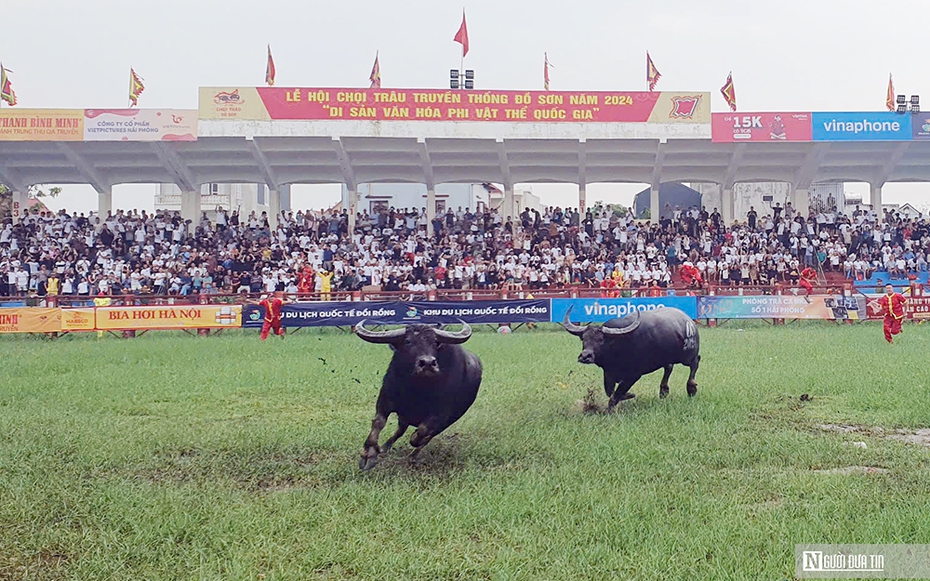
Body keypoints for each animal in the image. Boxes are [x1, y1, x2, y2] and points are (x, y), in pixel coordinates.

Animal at [354, 320, 482, 468]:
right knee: (400, 430)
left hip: (452, 417)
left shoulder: (441, 413)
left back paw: (412, 456)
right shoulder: (385, 398)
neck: (416, 388)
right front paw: (368, 453)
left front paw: (415, 439)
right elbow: (379, 422)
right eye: (408, 341)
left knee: (428, 435)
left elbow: (422, 432)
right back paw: (385, 447)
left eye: (435, 342)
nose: (428, 363)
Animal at [560, 304, 700, 408]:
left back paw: (691, 388)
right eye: (583, 339)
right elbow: (610, 392)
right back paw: (663, 391)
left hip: (687, 356)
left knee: (695, 362)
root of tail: (689, 321)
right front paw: (628, 395)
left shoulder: (633, 375)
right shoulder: (608, 373)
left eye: (601, 340)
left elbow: (614, 396)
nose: (585, 356)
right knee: (669, 367)